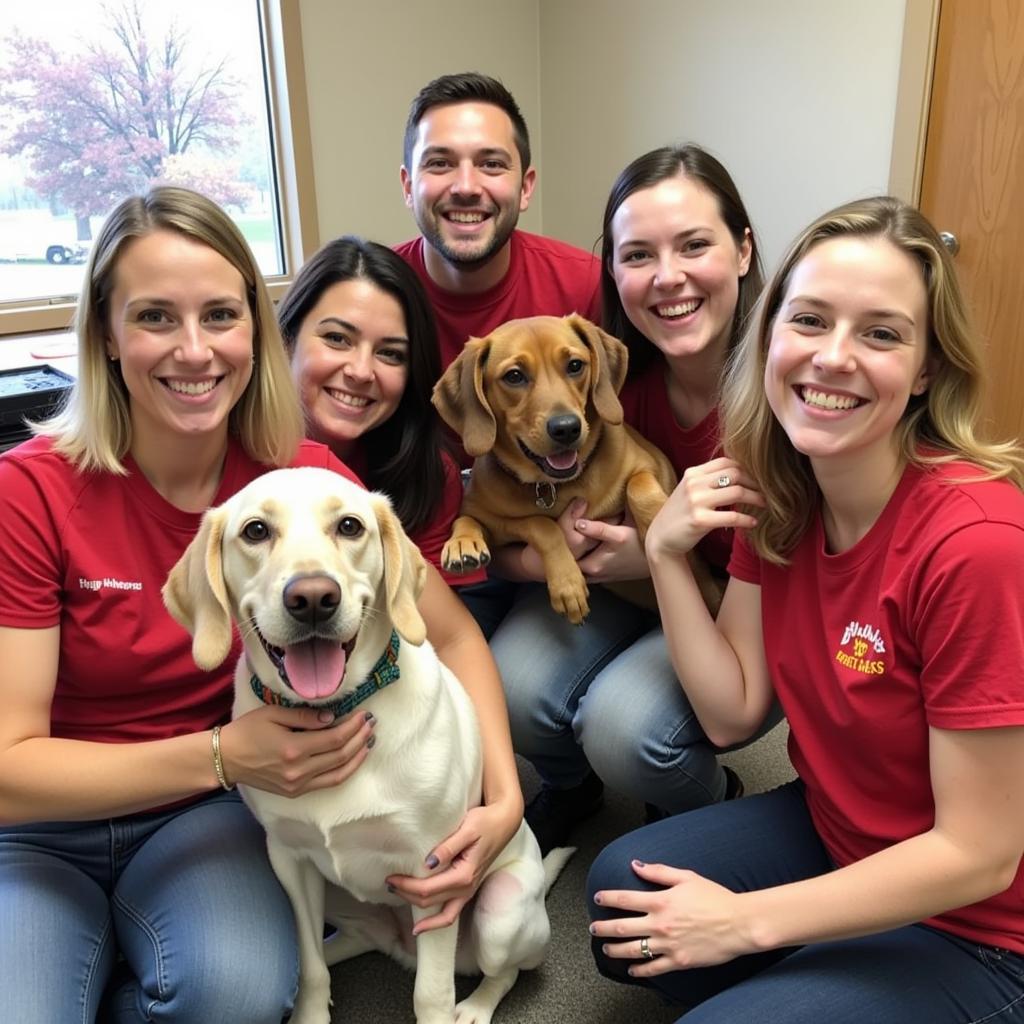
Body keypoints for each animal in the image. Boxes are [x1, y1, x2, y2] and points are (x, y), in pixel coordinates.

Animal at [428, 311, 716, 618]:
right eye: (514, 376)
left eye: (575, 365)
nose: (566, 428)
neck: (554, 486)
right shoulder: (485, 514)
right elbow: (536, 524)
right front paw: (463, 542)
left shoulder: (652, 463)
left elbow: (639, 485)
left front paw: (656, 521)